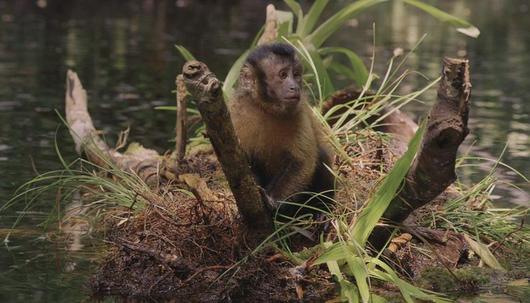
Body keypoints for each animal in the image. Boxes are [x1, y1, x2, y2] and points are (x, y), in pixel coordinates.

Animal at [228, 43, 334, 218]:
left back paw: (321, 210)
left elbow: (301, 161)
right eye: (283, 75)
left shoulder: (299, 111)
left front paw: (271, 201)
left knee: (322, 155)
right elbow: (244, 165)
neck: (266, 109)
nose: (294, 87)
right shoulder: (236, 112)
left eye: (296, 75)